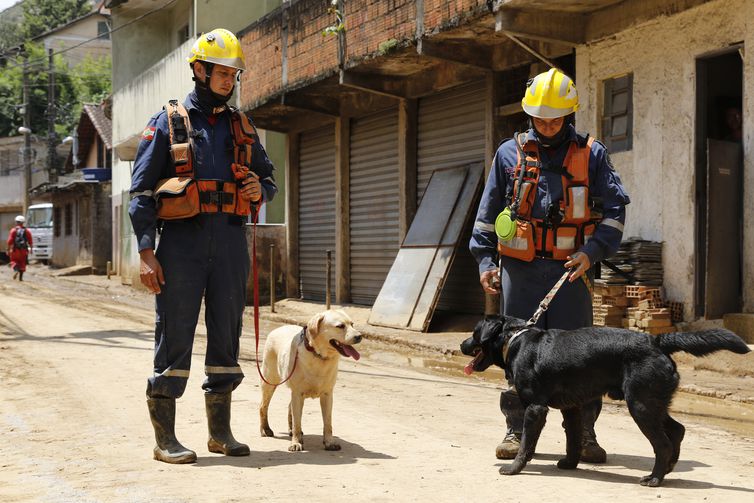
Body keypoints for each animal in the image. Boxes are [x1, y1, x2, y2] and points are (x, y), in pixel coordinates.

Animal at [258, 312, 362, 452]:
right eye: (340, 326)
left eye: (352, 324)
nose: (359, 336)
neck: (319, 356)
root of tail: (279, 328)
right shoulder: (297, 393)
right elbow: (297, 422)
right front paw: (296, 443)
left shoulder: (327, 394)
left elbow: (328, 423)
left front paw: (329, 442)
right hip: (270, 380)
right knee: (263, 406)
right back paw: (265, 430)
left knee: (289, 407)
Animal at [458, 316, 748, 486]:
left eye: (475, 332)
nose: (462, 344)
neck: (514, 338)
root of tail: (656, 340)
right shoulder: (571, 408)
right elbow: (573, 439)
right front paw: (569, 464)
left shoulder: (535, 408)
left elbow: (527, 444)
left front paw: (514, 469)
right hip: (652, 402)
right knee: (678, 429)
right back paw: (668, 468)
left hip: (640, 405)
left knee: (663, 443)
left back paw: (655, 478)